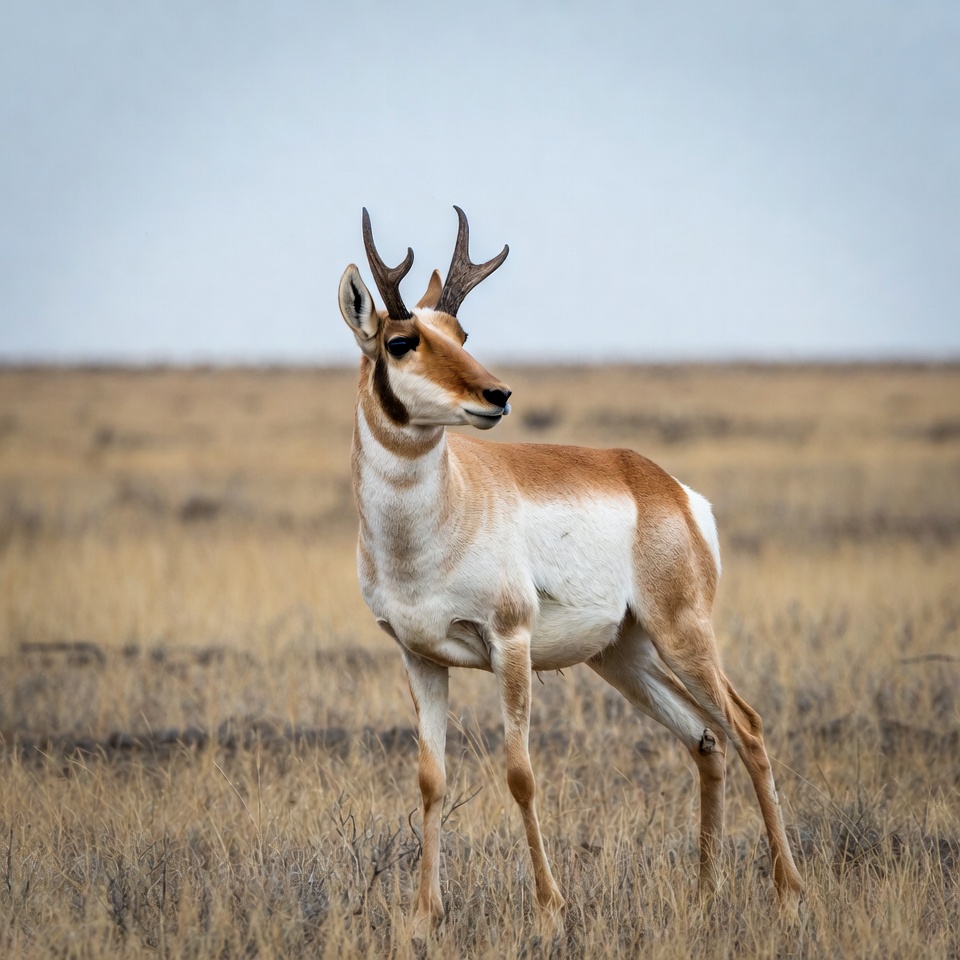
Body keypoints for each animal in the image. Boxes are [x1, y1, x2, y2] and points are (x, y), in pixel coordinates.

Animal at [338, 207, 804, 927]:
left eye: (461, 333)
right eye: (401, 340)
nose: (497, 393)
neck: (440, 518)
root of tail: (666, 486)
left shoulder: (510, 642)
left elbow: (520, 773)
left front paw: (550, 905)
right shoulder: (420, 657)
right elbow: (431, 779)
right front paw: (423, 914)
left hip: (682, 635)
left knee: (747, 728)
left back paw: (788, 893)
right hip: (622, 655)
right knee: (706, 737)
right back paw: (704, 893)